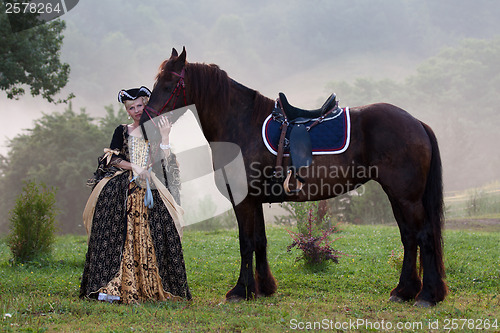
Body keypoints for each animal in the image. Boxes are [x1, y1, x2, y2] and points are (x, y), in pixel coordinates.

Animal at [142, 46, 450, 306]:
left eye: (168, 85)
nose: (144, 121)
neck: (241, 125)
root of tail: (416, 122)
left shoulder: (244, 201)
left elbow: (246, 243)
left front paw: (241, 291)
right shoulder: (255, 201)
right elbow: (260, 241)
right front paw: (264, 288)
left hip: (407, 197)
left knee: (423, 236)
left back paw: (427, 296)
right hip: (398, 196)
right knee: (409, 238)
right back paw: (404, 291)